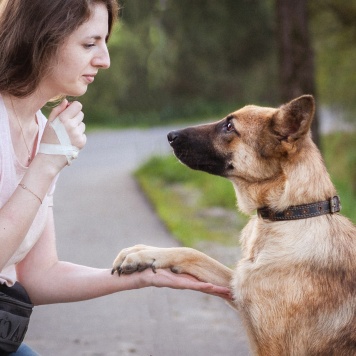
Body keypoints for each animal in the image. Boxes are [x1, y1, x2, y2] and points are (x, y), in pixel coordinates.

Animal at [112, 95, 356, 356]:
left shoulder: (273, 347)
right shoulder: (236, 288)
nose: (170, 135)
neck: (290, 214)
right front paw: (143, 253)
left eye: (229, 126)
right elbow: (194, 253)